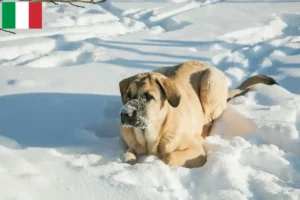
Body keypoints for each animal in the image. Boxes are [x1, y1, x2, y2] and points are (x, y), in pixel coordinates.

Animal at [118, 60, 278, 167]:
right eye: (128, 95)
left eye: (148, 96)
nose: (125, 114)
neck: (151, 137)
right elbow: (128, 154)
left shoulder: (196, 151)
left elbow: (168, 158)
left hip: (210, 82)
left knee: (209, 119)